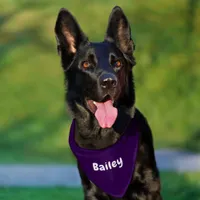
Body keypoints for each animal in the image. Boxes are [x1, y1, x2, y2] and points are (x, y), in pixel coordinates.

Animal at [54, 5, 162, 199]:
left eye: (117, 63)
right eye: (86, 65)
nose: (109, 82)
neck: (103, 135)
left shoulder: (148, 186)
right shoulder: (91, 191)